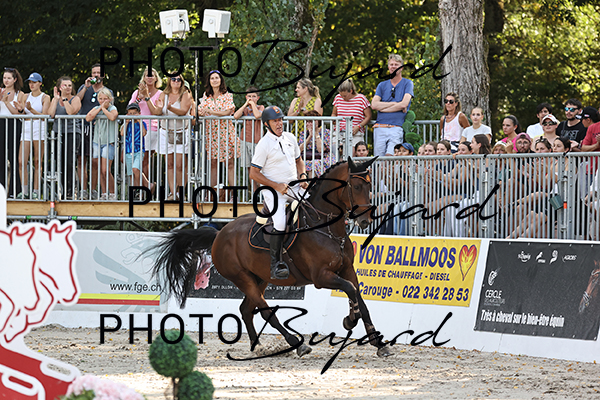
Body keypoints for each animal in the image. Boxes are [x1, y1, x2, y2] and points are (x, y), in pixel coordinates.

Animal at [151, 157, 392, 358]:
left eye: (369, 186)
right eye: (356, 186)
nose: (365, 220)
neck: (327, 229)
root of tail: (219, 234)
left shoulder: (347, 270)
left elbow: (359, 297)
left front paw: (378, 343)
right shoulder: (321, 276)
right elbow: (350, 290)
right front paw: (349, 321)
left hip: (261, 278)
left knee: (246, 310)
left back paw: (257, 346)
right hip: (241, 278)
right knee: (265, 311)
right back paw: (296, 344)